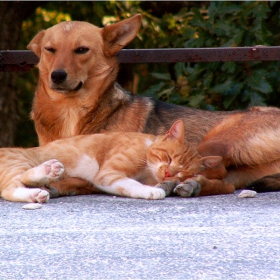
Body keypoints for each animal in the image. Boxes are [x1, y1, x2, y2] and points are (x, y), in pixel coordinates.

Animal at [0, 119, 221, 202]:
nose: (167, 172)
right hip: (18, 161)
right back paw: (47, 174)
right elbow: (131, 184)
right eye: (168, 157)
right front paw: (152, 191)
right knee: (13, 186)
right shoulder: (108, 174)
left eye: (183, 171)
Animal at [27, 13, 280, 197]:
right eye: (50, 50)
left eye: (81, 50)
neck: (71, 111)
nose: (57, 76)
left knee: (215, 173)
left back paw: (188, 185)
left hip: (215, 143)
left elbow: (79, 177)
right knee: (225, 183)